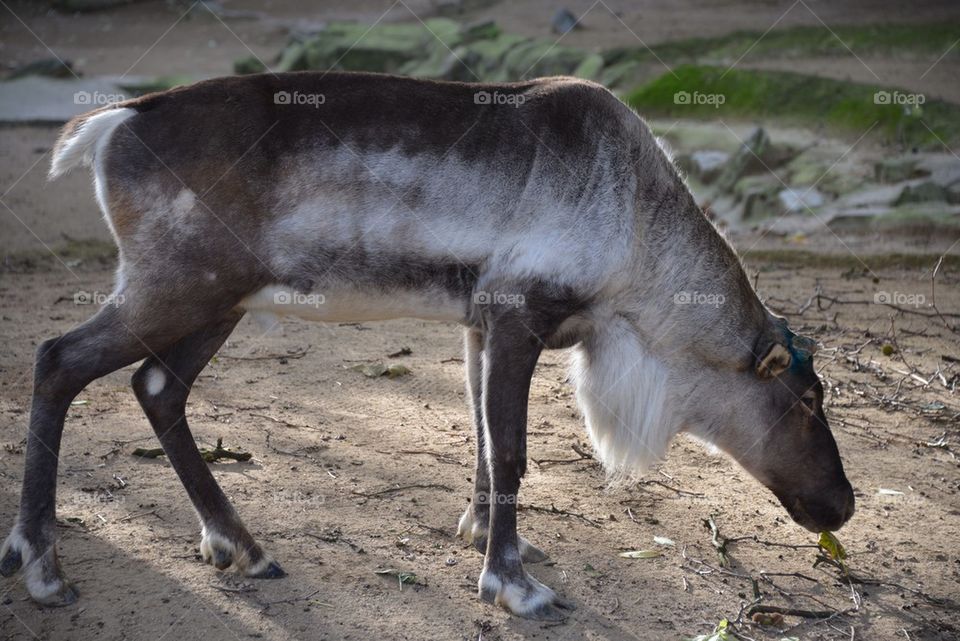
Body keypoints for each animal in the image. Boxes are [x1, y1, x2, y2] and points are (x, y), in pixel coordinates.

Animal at [1, 71, 854, 620]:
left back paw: (239, 544)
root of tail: (115, 123)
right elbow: (510, 449)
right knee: (58, 360)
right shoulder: (519, 313)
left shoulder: (478, 321)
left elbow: (479, 434)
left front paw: (485, 535)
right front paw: (513, 585)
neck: (638, 240)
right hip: (175, 286)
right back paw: (40, 563)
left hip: (217, 300)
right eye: (805, 398)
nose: (842, 504)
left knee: (156, 387)